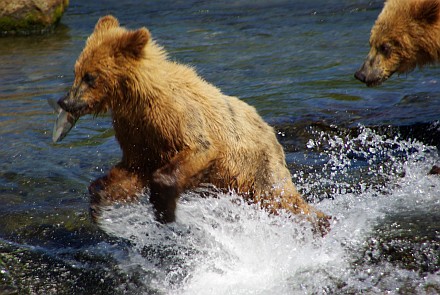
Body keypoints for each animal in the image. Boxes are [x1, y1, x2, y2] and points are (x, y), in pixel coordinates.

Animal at [56, 15, 330, 234]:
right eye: (76, 71)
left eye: (90, 76)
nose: (65, 101)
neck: (138, 98)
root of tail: (271, 130)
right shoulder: (136, 133)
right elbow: (132, 169)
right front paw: (99, 200)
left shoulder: (179, 118)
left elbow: (197, 149)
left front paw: (164, 210)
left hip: (256, 166)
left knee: (280, 199)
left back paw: (320, 223)